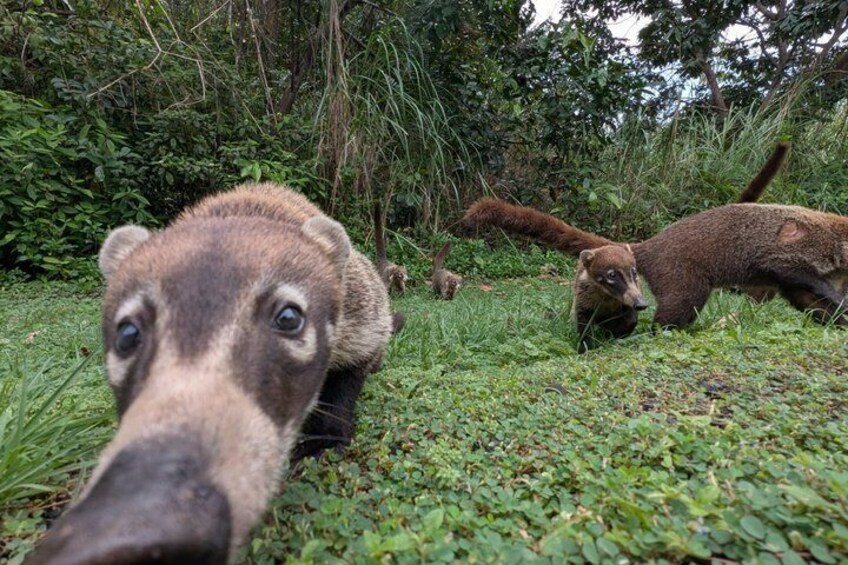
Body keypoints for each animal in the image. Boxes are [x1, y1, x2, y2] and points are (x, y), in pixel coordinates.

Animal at [29, 183, 395, 564]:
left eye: (289, 317)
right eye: (127, 333)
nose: (137, 527)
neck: (242, 209)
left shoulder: (361, 308)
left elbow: (354, 367)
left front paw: (326, 435)